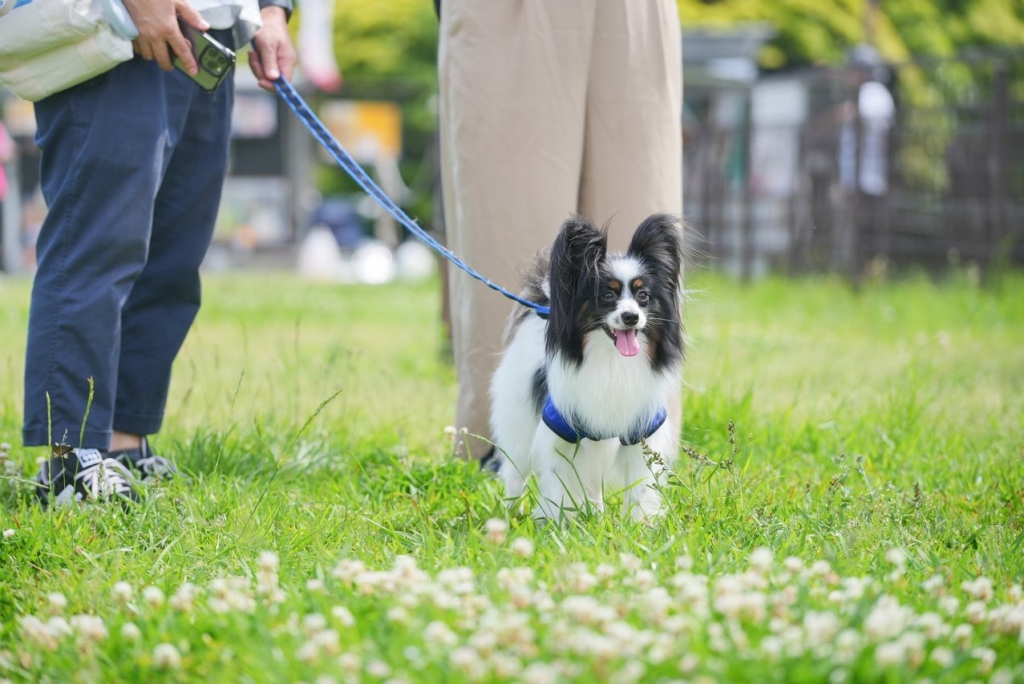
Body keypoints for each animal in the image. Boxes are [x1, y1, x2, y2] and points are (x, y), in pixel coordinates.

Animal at [489, 214, 684, 520]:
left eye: (643, 296)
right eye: (607, 296)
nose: (631, 317)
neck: (612, 361)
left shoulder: (640, 431)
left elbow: (640, 489)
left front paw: (639, 526)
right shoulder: (562, 432)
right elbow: (560, 487)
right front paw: (560, 524)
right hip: (518, 427)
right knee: (514, 474)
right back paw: (510, 514)